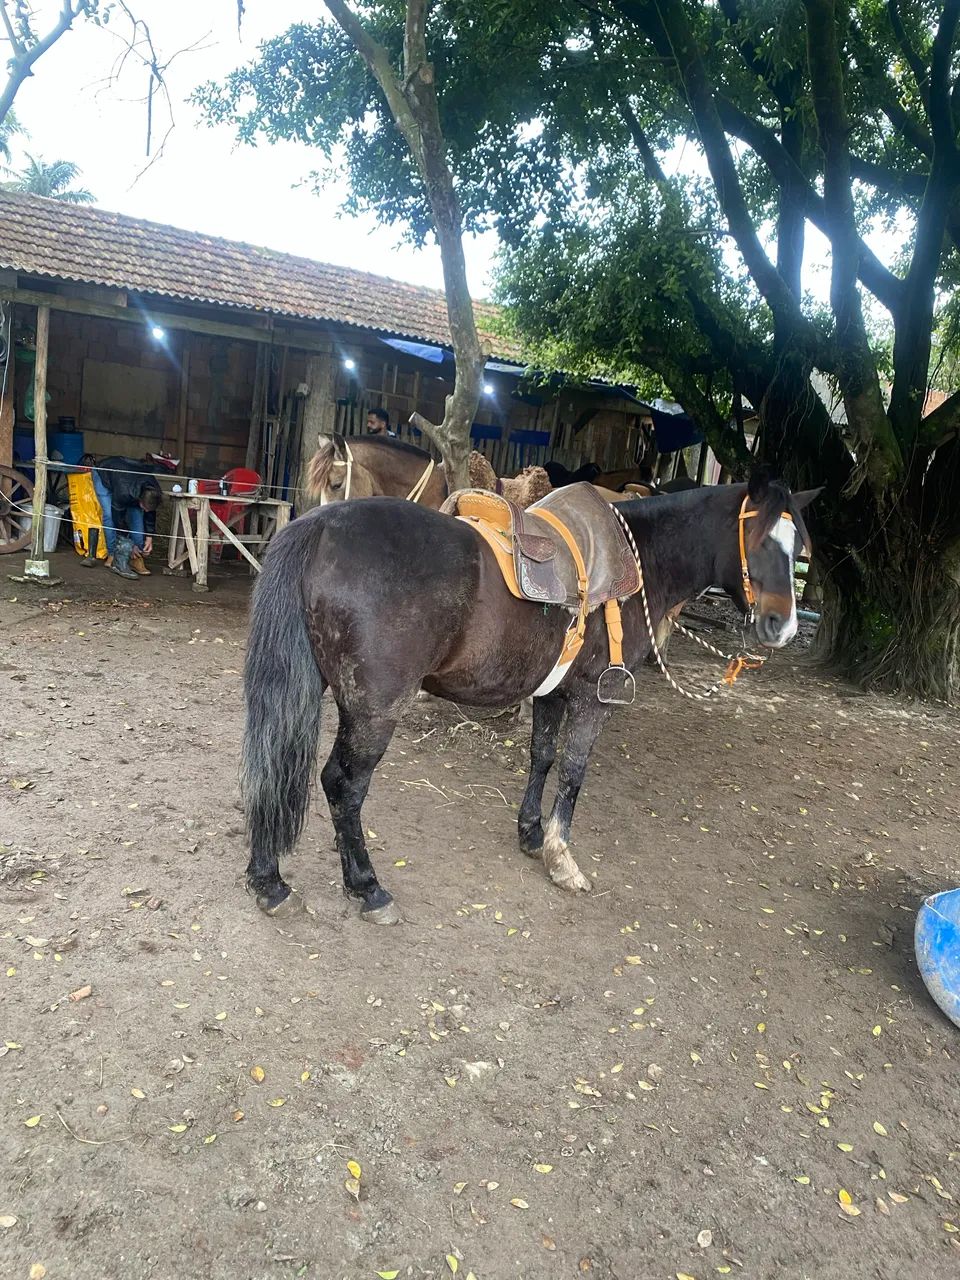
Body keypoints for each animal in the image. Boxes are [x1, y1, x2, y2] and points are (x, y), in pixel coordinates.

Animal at [241, 470, 817, 925]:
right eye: (762, 539)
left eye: (799, 550)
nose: (783, 626)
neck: (640, 562)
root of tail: (320, 526)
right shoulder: (593, 699)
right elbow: (573, 771)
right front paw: (562, 858)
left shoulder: (551, 693)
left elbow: (541, 757)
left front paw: (531, 834)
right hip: (375, 711)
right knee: (343, 785)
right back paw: (367, 887)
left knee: (276, 766)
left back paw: (270, 881)